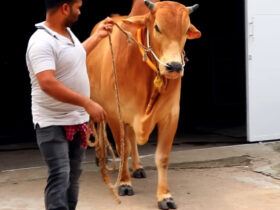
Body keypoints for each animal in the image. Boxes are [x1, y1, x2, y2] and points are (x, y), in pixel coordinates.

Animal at [86, 0, 200, 208]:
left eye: (186, 29)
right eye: (157, 27)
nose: (174, 67)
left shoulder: (171, 116)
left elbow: (162, 157)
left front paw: (165, 196)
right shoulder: (115, 114)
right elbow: (123, 150)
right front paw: (124, 183)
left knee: (132, 138)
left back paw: (138, 167)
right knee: (100, 129)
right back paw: (101, 159)